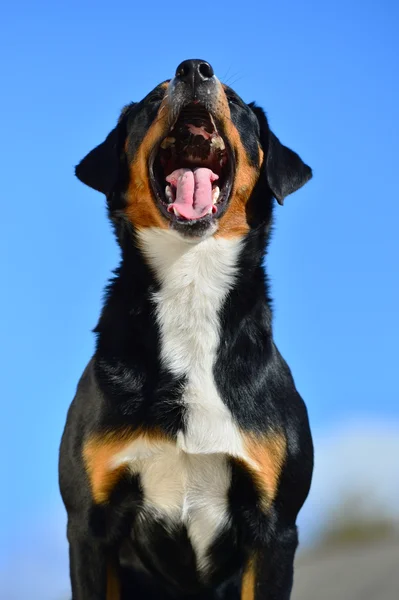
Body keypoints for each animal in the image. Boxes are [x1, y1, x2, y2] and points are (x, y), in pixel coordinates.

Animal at [59, 57, 316, 600]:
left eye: (235, 102)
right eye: (154, 100)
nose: (194, 69)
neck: (191, 288)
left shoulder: (275, 529)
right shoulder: (89, 525)